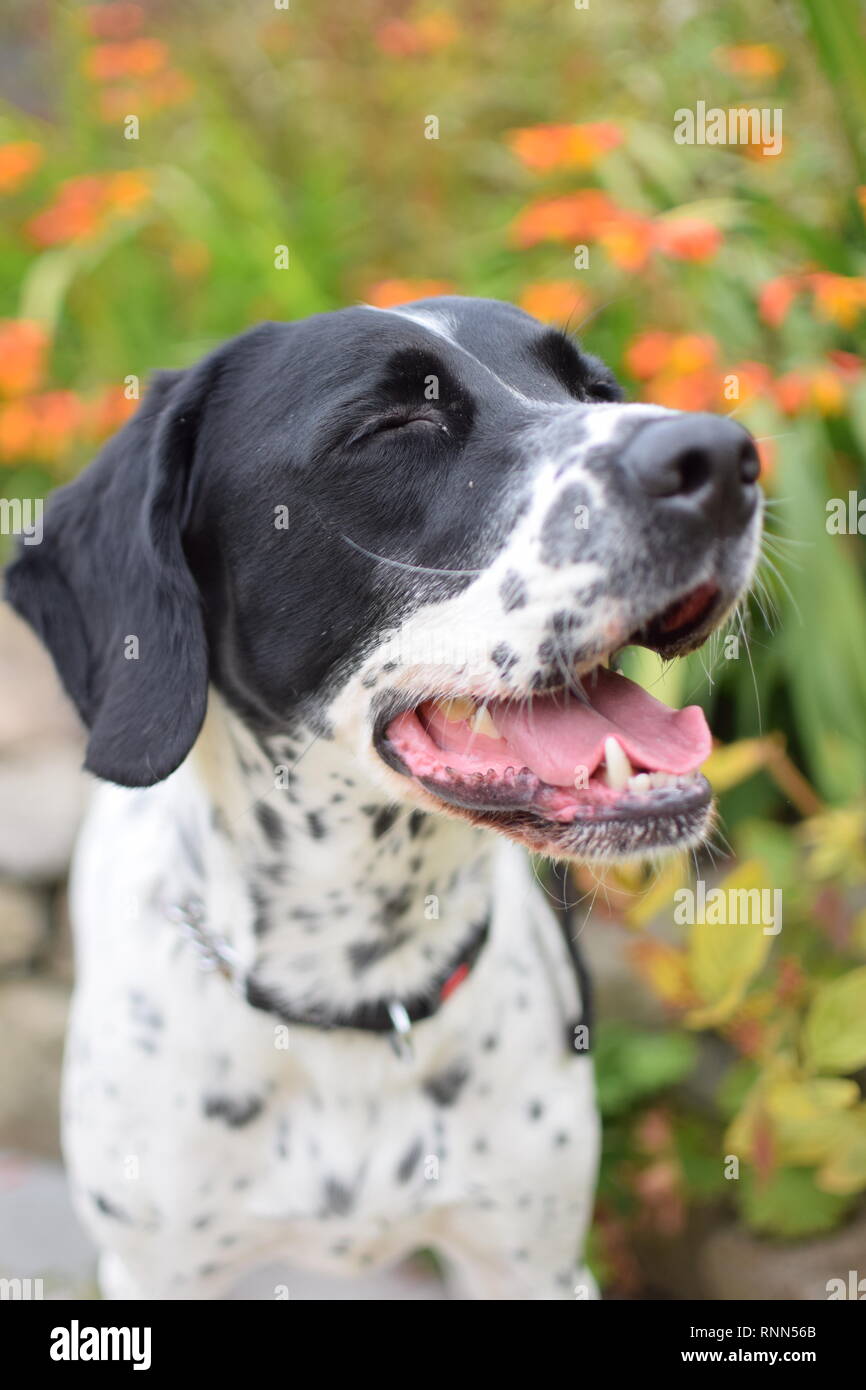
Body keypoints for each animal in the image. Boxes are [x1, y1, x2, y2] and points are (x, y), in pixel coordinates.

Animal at [3, 296, 761, 1301]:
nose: (722, 456)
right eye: (394, 424)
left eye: (596, 391)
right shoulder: (156, 1272)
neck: (358, 990)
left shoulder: (530, 1263)